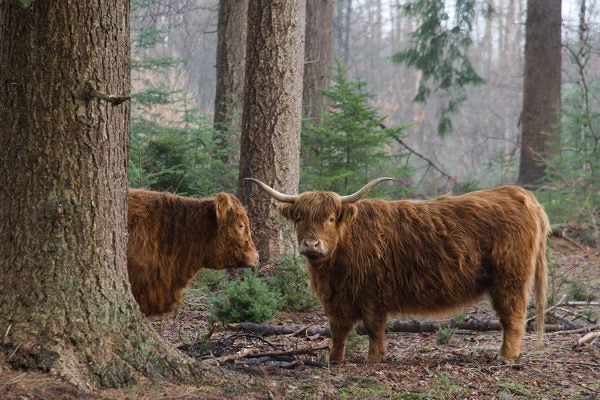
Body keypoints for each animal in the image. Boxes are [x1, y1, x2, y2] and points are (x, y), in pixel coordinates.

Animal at [247, 177, 548, 362]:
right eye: (299, 218)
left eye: (331, 218)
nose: (311, 244)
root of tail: (516, 193)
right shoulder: (337, 297)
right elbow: (338, 329)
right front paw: (333, 359)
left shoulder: (372, 293)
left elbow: (373, 329)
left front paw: (373, 359)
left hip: (509, 278)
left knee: (513, 317)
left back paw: (505, 356)